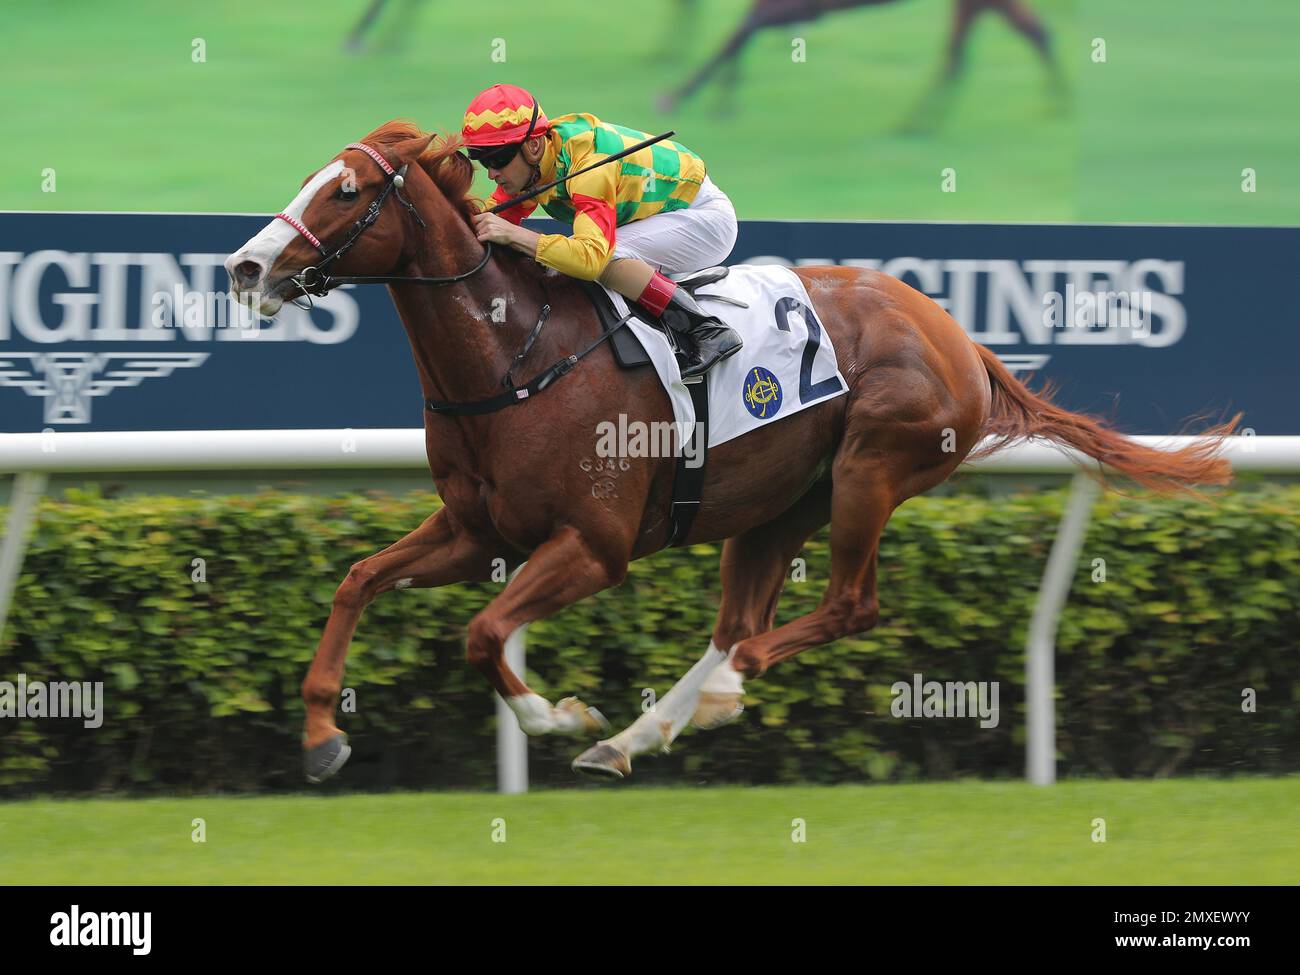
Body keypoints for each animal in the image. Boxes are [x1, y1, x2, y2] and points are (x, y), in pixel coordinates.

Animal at [226, 122, 1237, 785]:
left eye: (346, 191)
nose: (246, 267)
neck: (516, 353)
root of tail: (957, 334)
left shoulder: (591, 547)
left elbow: (481, 633)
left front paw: (557, 712)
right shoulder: (479, 531)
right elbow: (357, 578)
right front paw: (321, 735)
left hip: (872, 468)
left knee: (844, 607)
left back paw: (706, 698)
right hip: (777, 504)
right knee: (739, 621)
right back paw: (636, 737)